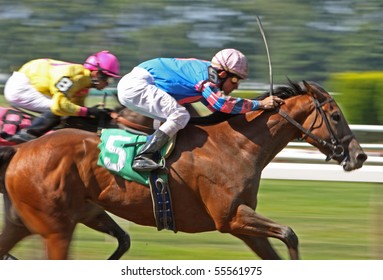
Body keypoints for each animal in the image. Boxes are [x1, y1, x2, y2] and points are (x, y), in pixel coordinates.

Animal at [0, 81, 368, 260]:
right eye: (336, 116)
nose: (360, 155)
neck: (237, 144)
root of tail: (20, 149)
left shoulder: (241, 223)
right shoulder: (231, 218)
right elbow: (290, 233)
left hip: (44, 218)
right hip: (56, 228)